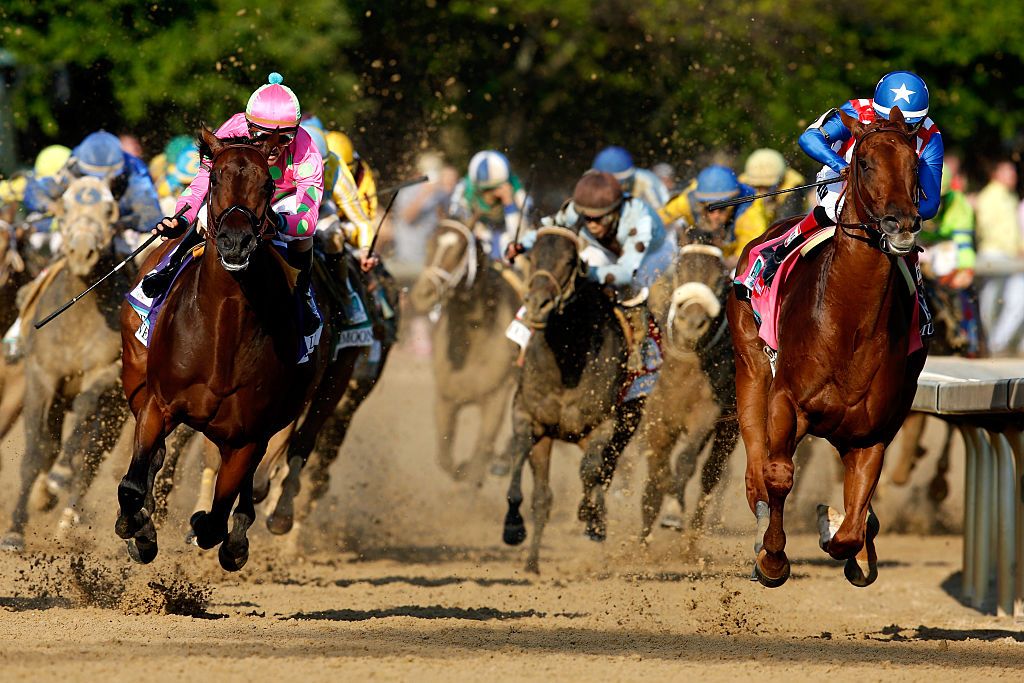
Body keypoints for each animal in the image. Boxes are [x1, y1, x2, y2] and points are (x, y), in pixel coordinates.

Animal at [116, 127, 352, 573]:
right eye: (214, 177)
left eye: (268, 185)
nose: (236, 242)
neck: (222, 332)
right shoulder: (159, 405)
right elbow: (133, 486)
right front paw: (139, 531)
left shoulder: (247, 436)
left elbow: (216, 518)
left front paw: (219, 535)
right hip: (136, 375)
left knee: (249, 487)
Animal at [497, 224, 634, 573]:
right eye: (532, 254)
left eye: (571, 261)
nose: (537, 305)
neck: (565, 361)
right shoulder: (530, 418)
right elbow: (527, 472)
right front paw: (515, 531)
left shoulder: (604, 423)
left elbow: (590, 471)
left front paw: (590, 516)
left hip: (625, 426)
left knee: (602, 470)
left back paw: (596, 521)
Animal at [729, 107, 929, 589]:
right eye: (864, 164)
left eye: (916, 166)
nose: (900, 224)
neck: (847, 326)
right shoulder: (786, 402)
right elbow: (779, 475)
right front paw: (772, 560)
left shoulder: (871, 433)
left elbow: (854, 525)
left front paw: (837, 530)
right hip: (751, 366)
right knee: (756, 460)